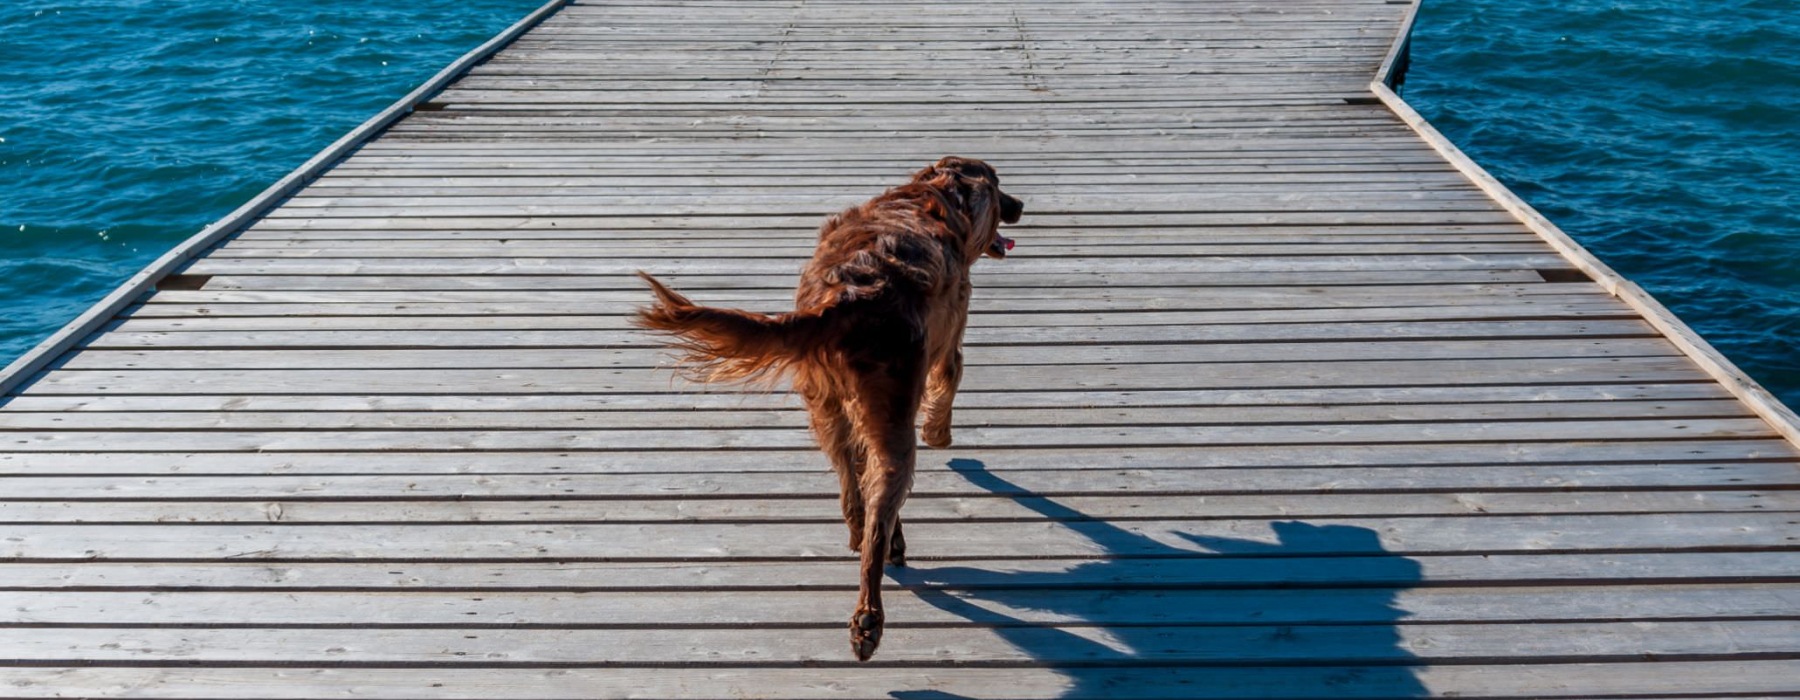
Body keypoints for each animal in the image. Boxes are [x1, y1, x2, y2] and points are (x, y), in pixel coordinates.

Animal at [640, 155, 1022, 658]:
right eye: (999, 188)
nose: (1020, 205)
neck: (935, 197)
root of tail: (849, 297)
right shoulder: (950, 337)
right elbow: (949, 385)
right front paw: (941, 434)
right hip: (891, 425)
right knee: (876, 522)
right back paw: (869, 619)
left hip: (831, 410)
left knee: (855, 494)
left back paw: (871, 543)